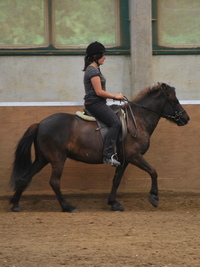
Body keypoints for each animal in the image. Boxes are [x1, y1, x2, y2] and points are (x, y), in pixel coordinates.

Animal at [9, 82, 190, 213]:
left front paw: (114, 203)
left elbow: (116, 180)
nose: (186, 118)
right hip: (57, 159)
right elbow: (153, 171)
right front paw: (154, 197)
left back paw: (16, 204)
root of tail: (40, 124)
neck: (138, 120)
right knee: (54, 182)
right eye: (174, 100)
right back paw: (68, 207)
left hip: (43, 158)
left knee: (25, 178)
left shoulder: (124, 160)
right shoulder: (135, 156)